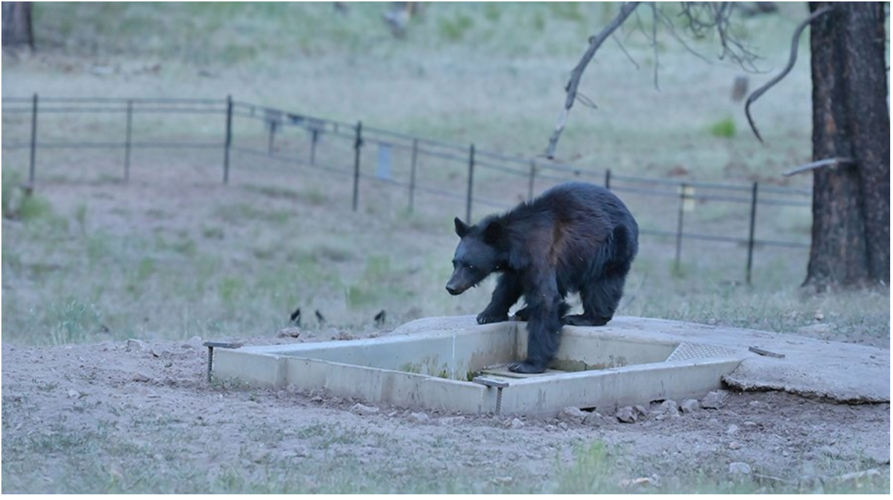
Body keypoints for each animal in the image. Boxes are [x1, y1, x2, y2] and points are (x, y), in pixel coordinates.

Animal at [445, 182, 638, 374]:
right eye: (455, 262)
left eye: (470, 266)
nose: (451, 287)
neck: (515, 247)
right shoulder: (518, 267)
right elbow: (507, 287)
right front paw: (488, 315)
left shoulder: (540, 255)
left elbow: (545, 300)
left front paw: (526, 364)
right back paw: (525, 312)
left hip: (610, 248)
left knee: (601, 287)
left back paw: (583, 318)